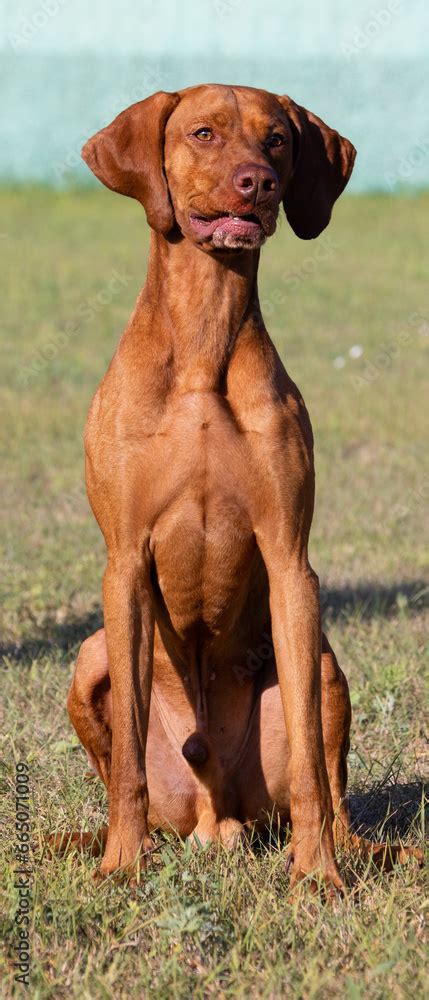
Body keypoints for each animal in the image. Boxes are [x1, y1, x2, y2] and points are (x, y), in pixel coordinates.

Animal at [52, 84, 418, 892]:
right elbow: (127, 764)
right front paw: (122, 866)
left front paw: (317, 878)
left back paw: (338, 852)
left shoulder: (289, 562)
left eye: (277, 138)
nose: (259, 182)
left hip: (322, 664)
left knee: (335, 798)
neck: (202, 343)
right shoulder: (124, 562)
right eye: (203, 133)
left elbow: (312, 766)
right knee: (122, 768)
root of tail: (213, 820)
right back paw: (100, 841)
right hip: (89, 656)